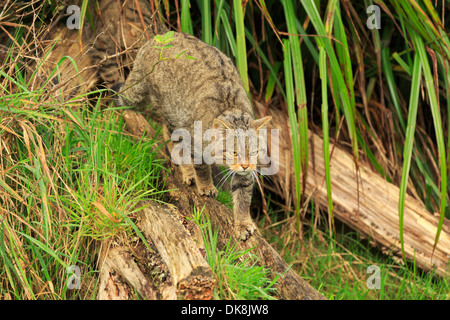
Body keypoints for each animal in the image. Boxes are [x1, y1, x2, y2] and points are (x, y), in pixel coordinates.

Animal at [112, 31, 270, 242]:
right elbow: (201, 168)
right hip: (173, 112)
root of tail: (154, 39)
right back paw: (188, 172)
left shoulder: (244, 175)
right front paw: (205, 185)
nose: (245, 165)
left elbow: (243, 197)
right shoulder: (197, 145)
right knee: (171, 138)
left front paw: (243, 223)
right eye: (234, 152)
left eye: (253, 152)